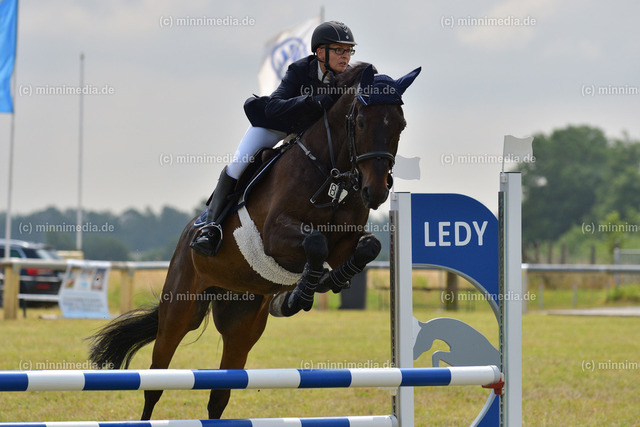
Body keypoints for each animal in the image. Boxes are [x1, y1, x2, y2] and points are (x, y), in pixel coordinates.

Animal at [87, 62, 420, 420]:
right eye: (360, 122)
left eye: (400, 125)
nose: (377, 191)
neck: (331, 173)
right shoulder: (275, 236)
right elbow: (315, 242)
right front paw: (302, 293)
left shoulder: (345, 241)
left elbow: (367, 247)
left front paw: (328, 282)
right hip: (179, 310)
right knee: (155, 382)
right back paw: (208, 238)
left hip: (242, 324)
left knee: (219, 395)